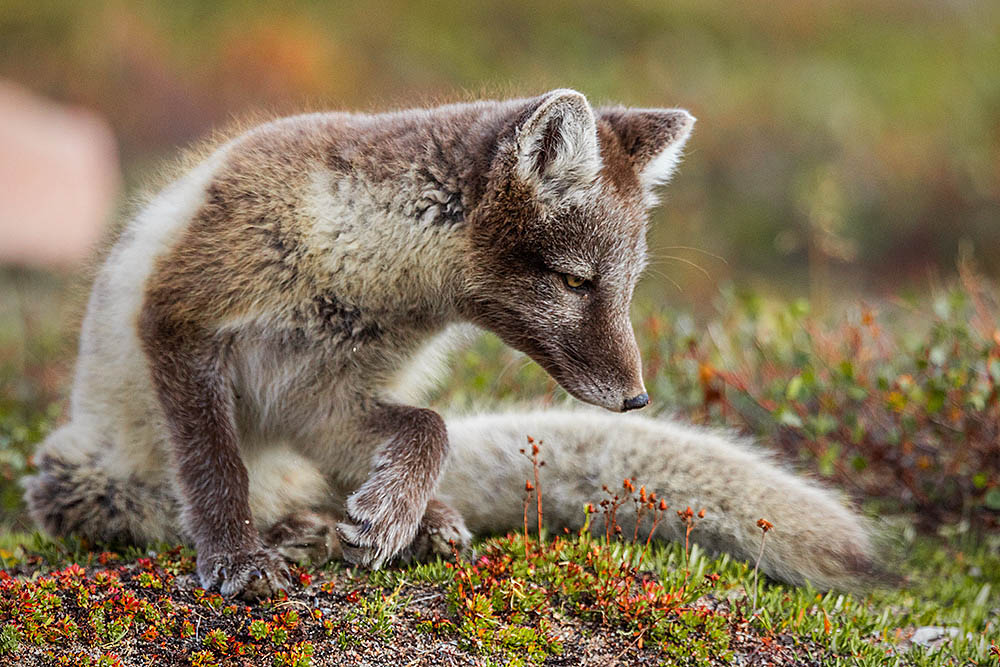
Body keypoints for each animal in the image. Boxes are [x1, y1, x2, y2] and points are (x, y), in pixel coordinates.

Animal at [23, 88, 880, 596]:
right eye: (577, 282)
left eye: (628, 285)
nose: (639, 398)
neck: (370, 274)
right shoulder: (183, 313)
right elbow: (214, 463)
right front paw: (236, 557)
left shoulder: (321, 399)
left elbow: (429, 427)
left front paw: (391, 514)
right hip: (80, 476)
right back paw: (296, 529)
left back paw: (403, 521)